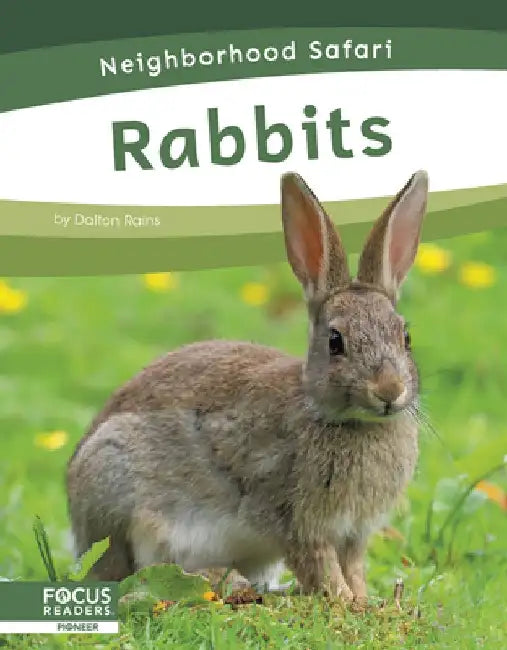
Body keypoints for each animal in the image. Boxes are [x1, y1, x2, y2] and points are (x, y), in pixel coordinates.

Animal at [67, 170, 428, 600]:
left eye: (405, 337)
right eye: (335, 342)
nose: (389, 391)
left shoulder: (354, 533)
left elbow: (353, 567)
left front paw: (365, 601)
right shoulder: (298, 522)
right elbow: (322, 569)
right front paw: (344, 602)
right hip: (119, 487)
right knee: (139, 569)